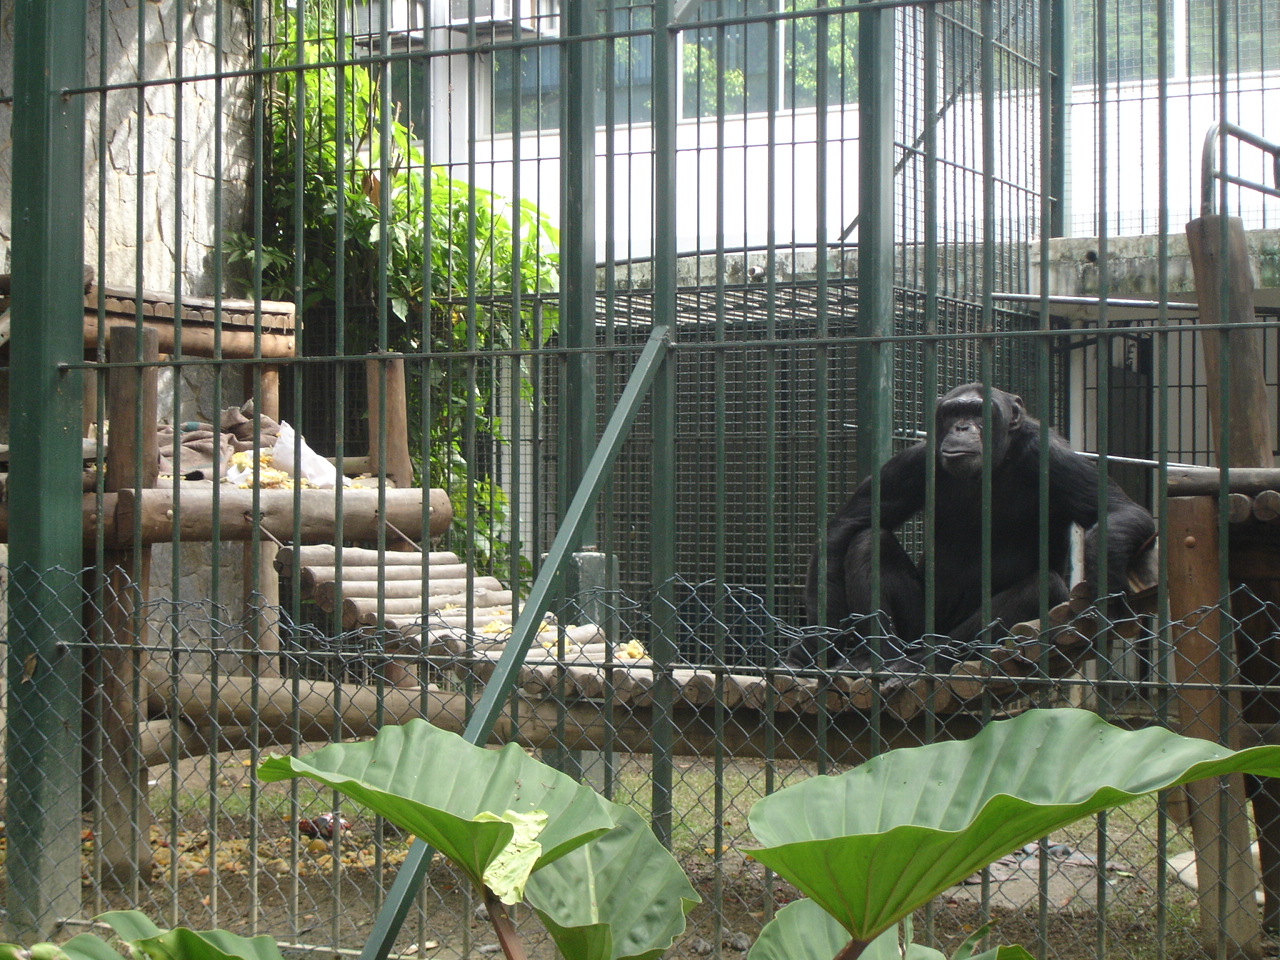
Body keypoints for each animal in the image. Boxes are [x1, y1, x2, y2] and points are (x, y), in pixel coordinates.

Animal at [788, 386, 1162, 675]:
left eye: (979, 411)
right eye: (953, 412)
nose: (962, 427)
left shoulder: (1054, 459)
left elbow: (1118, 510)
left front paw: (1105, 574)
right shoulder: (913, 462)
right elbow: (847, 527)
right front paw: (816, 645)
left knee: (1042, 587)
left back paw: (928, 661)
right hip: (917, 627)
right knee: (868, 542)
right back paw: (873, 657)